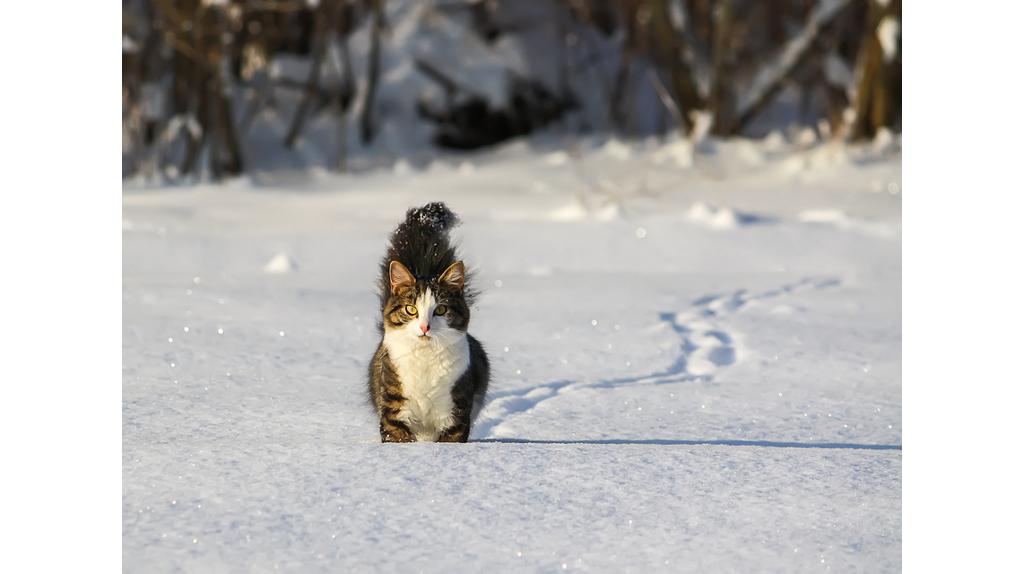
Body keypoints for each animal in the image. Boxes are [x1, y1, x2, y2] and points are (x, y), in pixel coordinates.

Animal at [368, 202, 491, 444]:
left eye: (441, 310)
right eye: (411, 309)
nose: (425, 327)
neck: (425, 358)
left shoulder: (455, 414)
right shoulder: (394, 413)